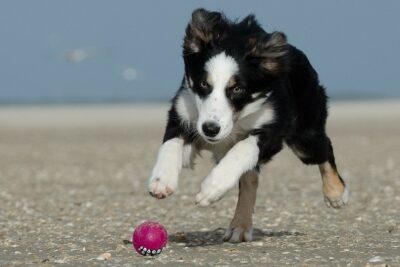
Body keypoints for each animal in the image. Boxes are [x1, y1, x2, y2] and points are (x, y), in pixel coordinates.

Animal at [148, 8, 348, 243]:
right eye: (203, 84)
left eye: (237, 89)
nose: (210, 129)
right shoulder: (184, 114)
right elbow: (171, 144)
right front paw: (161, 180)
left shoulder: (273, 129)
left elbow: (243, 149)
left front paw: (211, 188)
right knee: (250, 179)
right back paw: (240, 226)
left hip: (305, 137)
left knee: (324, 149)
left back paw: (336, 193)